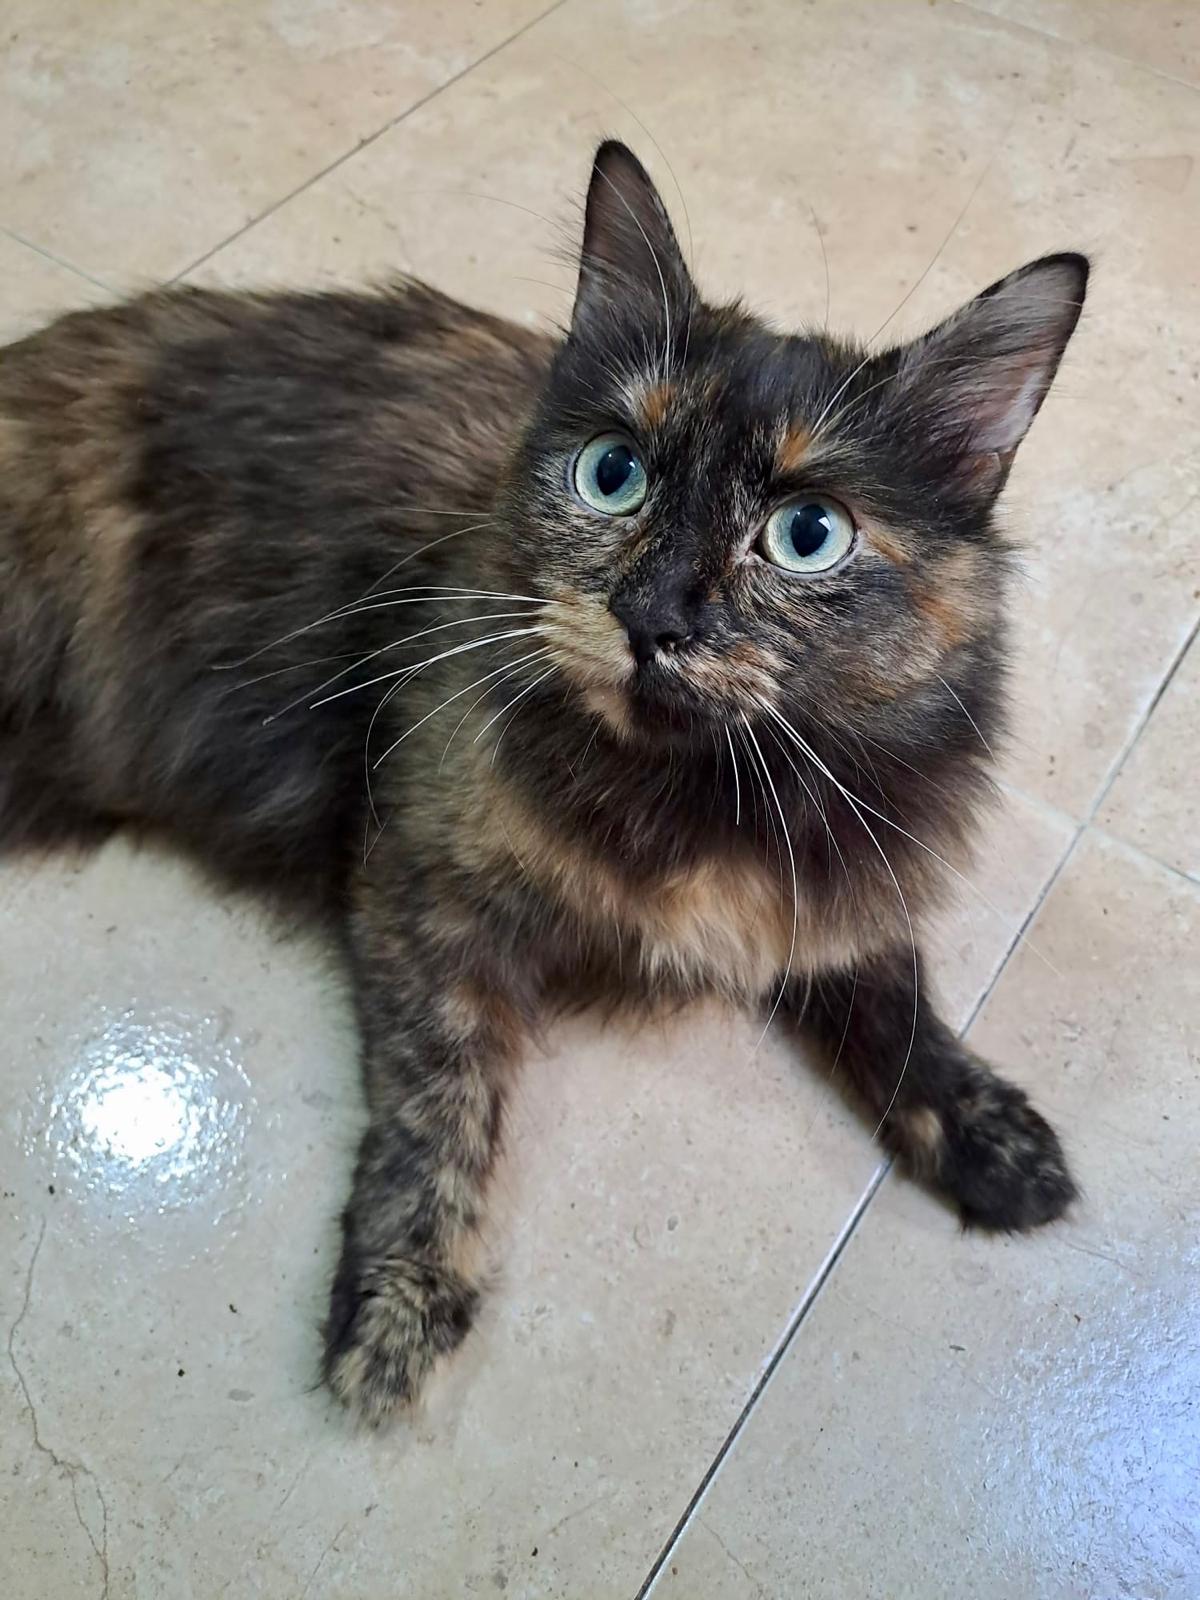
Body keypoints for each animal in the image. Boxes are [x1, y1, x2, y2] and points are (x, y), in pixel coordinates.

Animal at [0, 141, 1087, 1425]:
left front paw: (988, 1133)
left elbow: (893, 992)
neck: (696, 795)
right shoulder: (419, 884)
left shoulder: (842, 867)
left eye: (808, 534)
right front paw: (400, 1303)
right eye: (613, 474)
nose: (651, 615)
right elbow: (441, 1103)